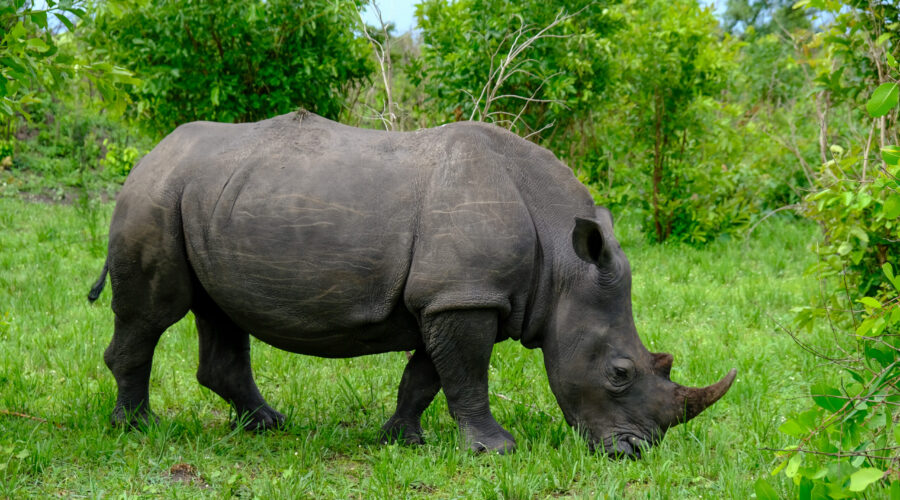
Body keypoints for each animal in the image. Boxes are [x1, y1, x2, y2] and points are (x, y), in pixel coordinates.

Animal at [88, 110, 735, 458]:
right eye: (619, 373)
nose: (635, 452)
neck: (563, 263)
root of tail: (149, 153)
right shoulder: (464, 297)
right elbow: (467, 376)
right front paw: (497, 450)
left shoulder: (449, 296)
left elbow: (425, 378)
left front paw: (401, 441)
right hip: (154, 196)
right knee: (153, 314)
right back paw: (138, 429)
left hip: (207, 196)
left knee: (220, 313)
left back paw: (267, 425)